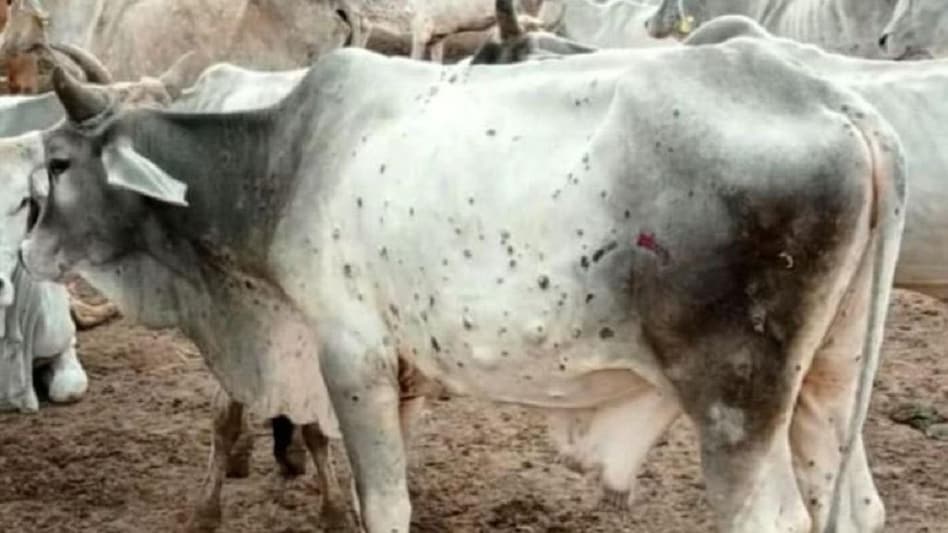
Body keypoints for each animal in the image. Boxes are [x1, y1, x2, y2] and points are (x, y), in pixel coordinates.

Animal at [17, 36, 906, 532]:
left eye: (57, 164)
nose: (25, 251)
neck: (282, 160)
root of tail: (839, 104)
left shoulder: (352, 357)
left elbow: (385, 505)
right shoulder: (398, 375)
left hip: (735, 406)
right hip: (828, 380)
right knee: (857, 505)